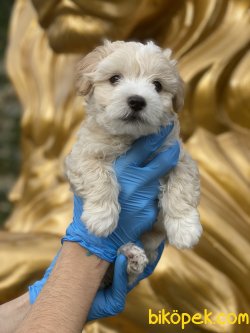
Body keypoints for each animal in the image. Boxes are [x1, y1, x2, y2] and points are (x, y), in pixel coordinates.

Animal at [65, 39, 203, 282]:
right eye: (114, 79)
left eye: (157, 85)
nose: (137, 101)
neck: (130, 138)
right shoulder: (83, 155)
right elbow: (99, 175)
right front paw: (101, 217)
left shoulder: (178, 156)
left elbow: (181, 188)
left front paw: (185, 228)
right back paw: (128, 253)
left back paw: (132, 259)